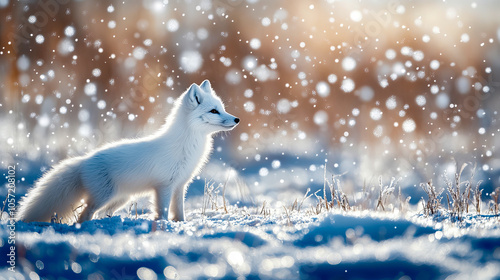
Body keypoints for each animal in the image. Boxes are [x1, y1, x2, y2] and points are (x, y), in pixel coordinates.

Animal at [16, 80, 239, 223]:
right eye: (213, 111)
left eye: (222, 108)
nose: (237, 119)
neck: (187, 145)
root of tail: (84, 160)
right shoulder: (164, 186)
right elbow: (162, 212)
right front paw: (164, 227)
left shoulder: (180, 185)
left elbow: (179, 213)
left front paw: (180, 226)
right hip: (104, 197)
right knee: (84, 216)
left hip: (120, 199)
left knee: (100, 214)